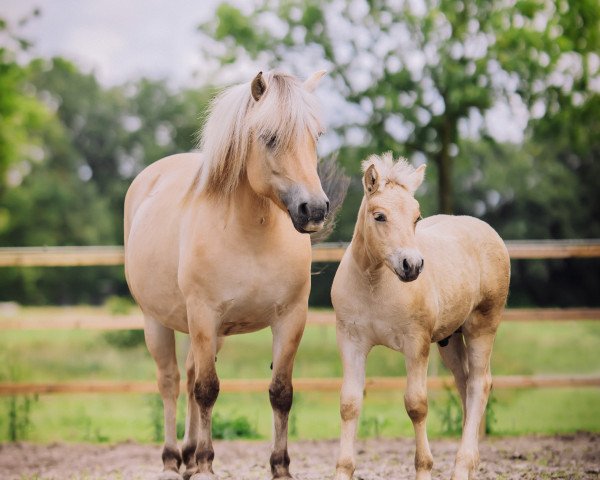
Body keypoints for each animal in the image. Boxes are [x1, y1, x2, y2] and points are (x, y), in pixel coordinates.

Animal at [125, 69, 342, 478]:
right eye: (269, 137)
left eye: (316, 136)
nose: (314, 210)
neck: (251, 234)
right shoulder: (203, 315)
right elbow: (208, 390)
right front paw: (207, 464)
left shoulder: (291, 318)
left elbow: (280, 392)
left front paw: (280, 466)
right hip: (157, 321)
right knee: (171, 382)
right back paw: (173, 458)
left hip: (211, 333)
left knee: (189, 375)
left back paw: (189, 454)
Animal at [330, 154, 508, 480]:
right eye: (379, 216)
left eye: (416, 217)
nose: (411, 265)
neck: (375, 283)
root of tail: (488, 232)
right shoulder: (351, 341)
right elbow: (350, 403)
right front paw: (343, 470)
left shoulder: (416, 344)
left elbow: (416, 405)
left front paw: (424, 467)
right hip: (450, 339)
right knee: (465, 383)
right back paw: (471, 464)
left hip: (482, 326)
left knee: (480, 383)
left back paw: (462, 466)